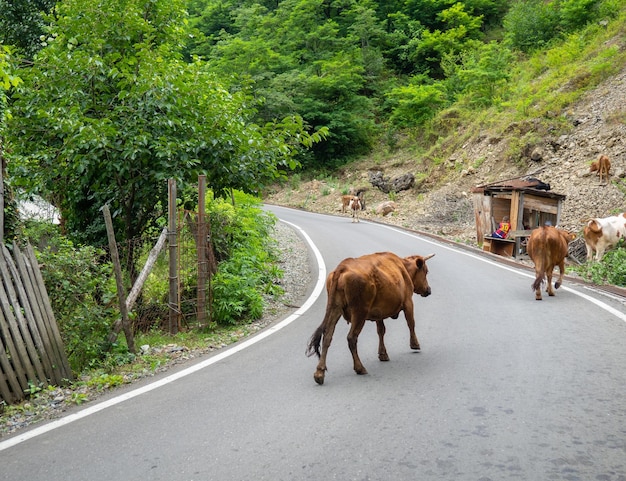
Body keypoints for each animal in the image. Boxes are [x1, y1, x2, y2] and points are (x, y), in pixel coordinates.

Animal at [304, 251, 432, 382]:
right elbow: (411, 323)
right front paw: (415, 344)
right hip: (359, 312)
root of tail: (342, 266)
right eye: (426, 271)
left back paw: (319, 373)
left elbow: (381, 331)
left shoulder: (379, 312)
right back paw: (360, 368)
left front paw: (383, 354)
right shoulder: (408, 302)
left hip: (335, 308)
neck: (403, 267)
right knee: (351, 338)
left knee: (327, 337)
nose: (428, 290)